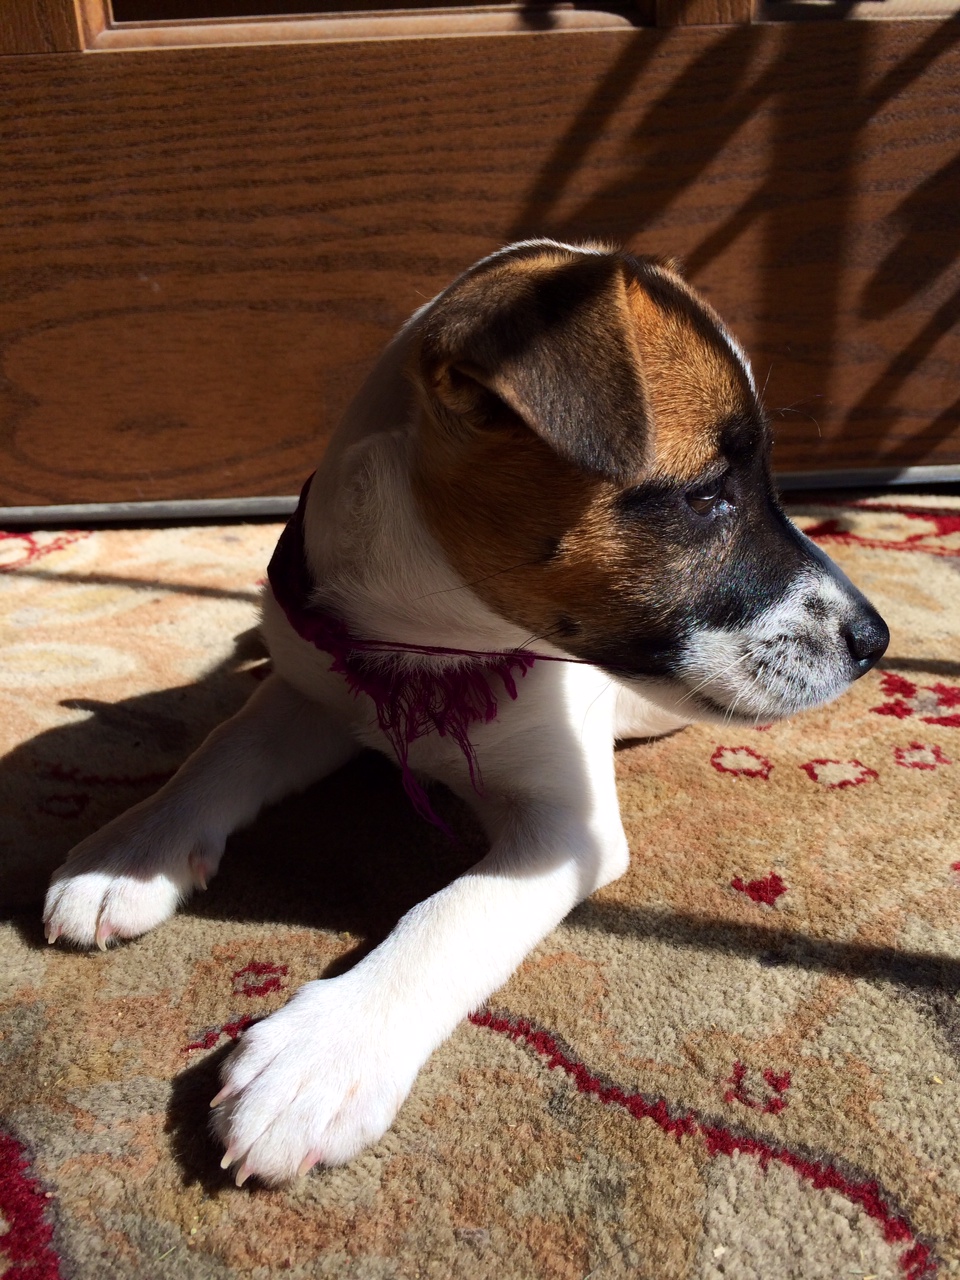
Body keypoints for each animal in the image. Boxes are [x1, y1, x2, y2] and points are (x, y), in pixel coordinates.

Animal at [43, 241, 885, 1187]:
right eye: (707, 495)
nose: (876, 640)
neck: (425, 651)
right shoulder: (308, 698)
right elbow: (217, 752)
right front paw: (131, 852)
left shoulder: (564, 830)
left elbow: (447, 917)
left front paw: (324, 1053)